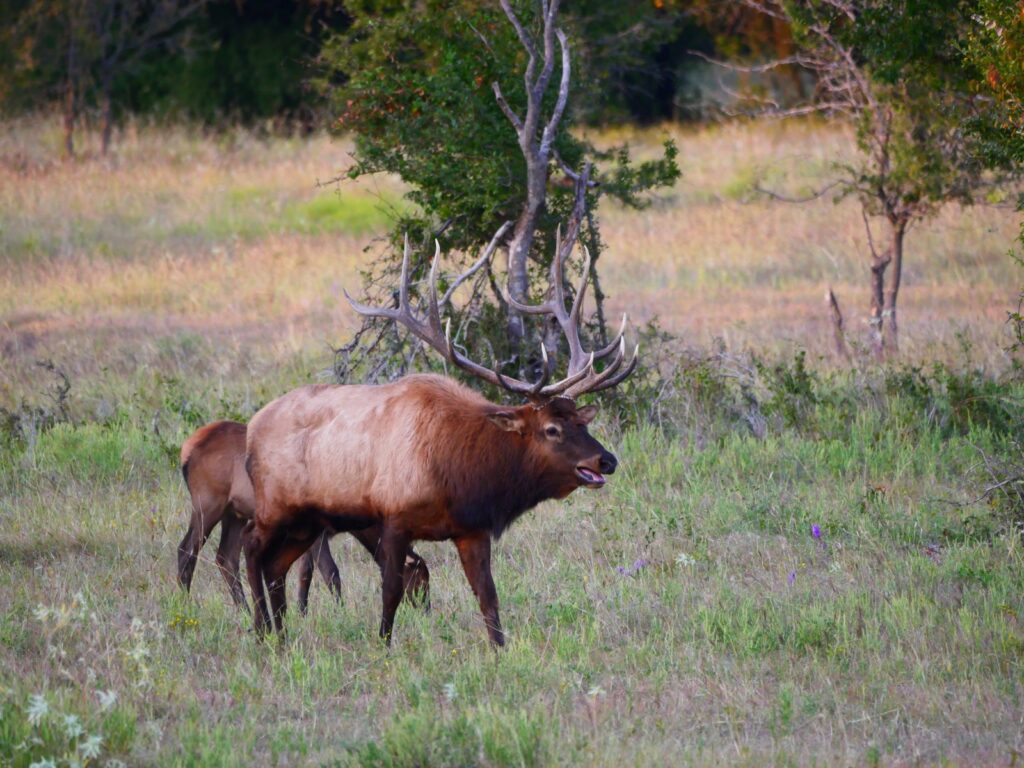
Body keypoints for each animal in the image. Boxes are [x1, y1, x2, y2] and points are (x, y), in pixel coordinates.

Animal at [178, 421, 430, 614]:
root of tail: (187, 449)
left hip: (234, 514)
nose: (426, 610)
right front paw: (340, 612)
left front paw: (302, 612)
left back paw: (244, 610)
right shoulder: (318, 533)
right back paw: (184, 603)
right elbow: (331, 573)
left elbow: (304, 574)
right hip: (208, 506)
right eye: (420, 580)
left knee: (226, 558)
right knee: (186, 549)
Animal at [242, 218, 634, 651]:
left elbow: (487, 595)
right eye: (551, 429)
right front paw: (384, 645)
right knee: (251, 548)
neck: (460, 473)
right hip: (276, 504)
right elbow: (391, 591)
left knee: (276, 565)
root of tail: (252, 428)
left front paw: (500, 650)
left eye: (583, 423)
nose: (606, 460)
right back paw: (260, 628)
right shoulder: (394, 517)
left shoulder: (472, 529)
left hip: (308, 520)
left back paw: (280, 633)